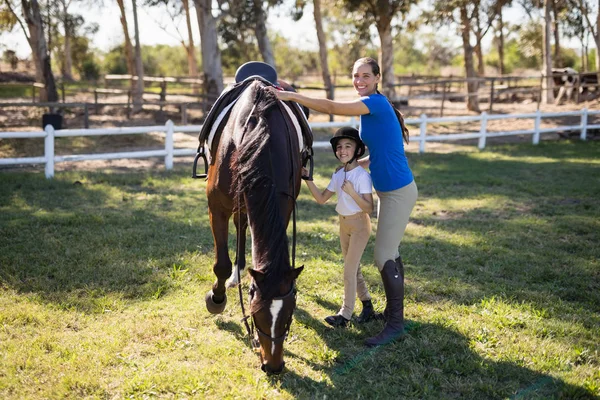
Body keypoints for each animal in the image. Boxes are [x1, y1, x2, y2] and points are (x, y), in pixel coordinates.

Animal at [195, 65, 312, 376]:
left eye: (288, 316)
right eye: (256, 314)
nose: (273, 366)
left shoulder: (283, 205)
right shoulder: (217, 207)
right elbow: (221, 264)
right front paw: (216, 299)